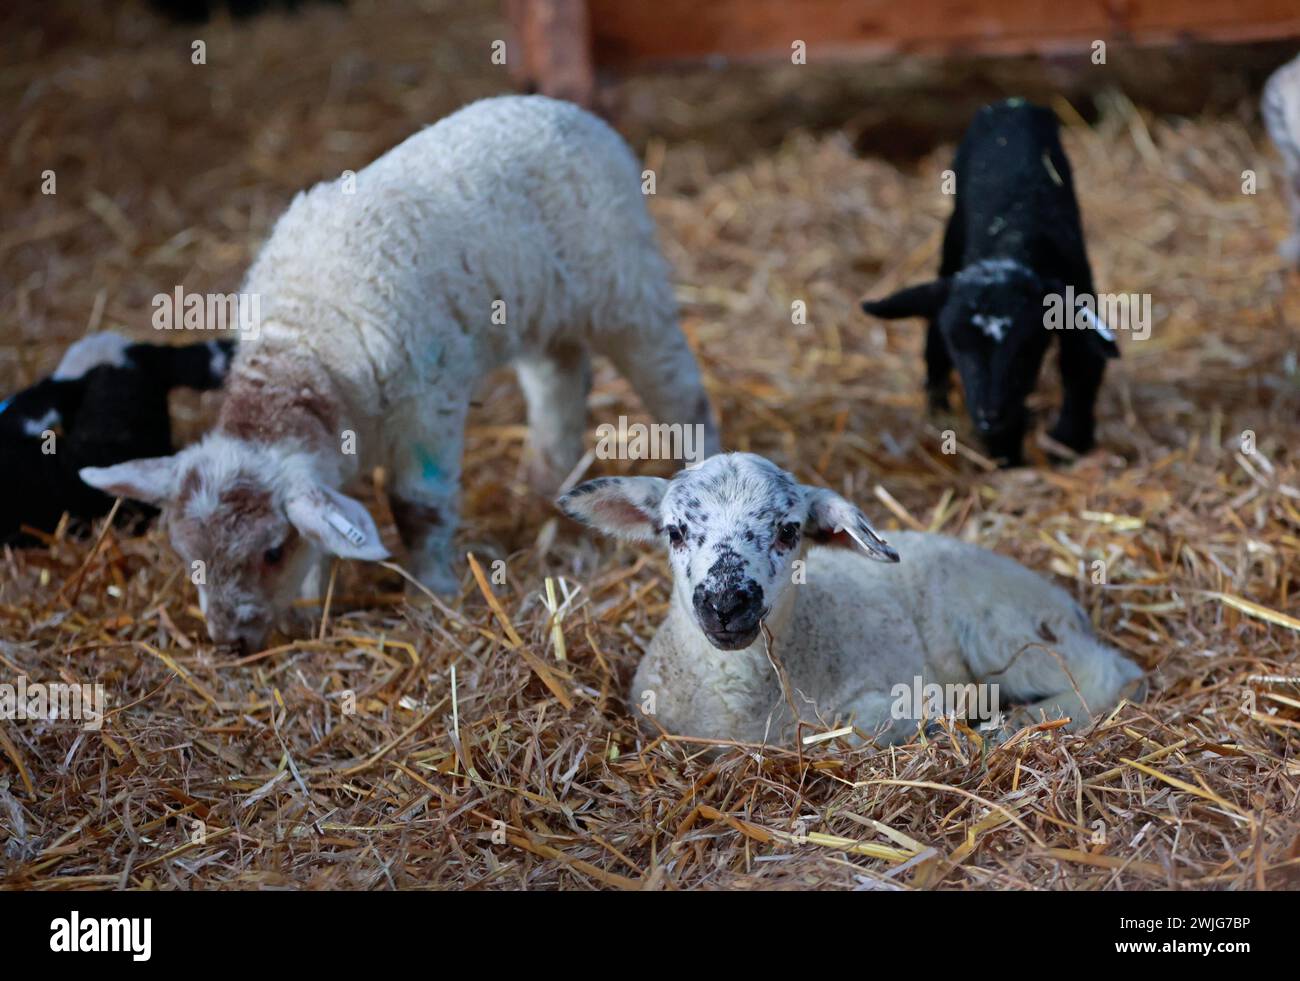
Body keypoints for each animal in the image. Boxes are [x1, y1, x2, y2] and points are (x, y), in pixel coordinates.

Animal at [81, 96, 722, 654]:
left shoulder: (427, 400)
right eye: (185, 553)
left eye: (271, 552)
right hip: (542, 304)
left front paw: (431, 594)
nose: (230, 643)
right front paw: (316, 597)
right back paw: (546, 481)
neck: (301, 345)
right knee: (559, 377)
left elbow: (418, 507)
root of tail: (563, 109)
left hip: (625, 286)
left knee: (676, 387)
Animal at [553, 457, 1144, 748]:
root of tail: (1065, 601)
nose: (726, 604)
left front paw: (953, 722)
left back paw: (1019, 720)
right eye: (675, 532)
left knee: (1103, 675)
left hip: (1002, 631)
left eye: (789, 530)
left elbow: (853, 731)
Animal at [863, 100, 1118, 467]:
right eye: (958, 348)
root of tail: (1012, 103)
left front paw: (1069, 440)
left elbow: (1082, 362)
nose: (988, 416)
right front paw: (1005, 453)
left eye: (1025, 349)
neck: (1012, 234)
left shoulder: (1075, 289)